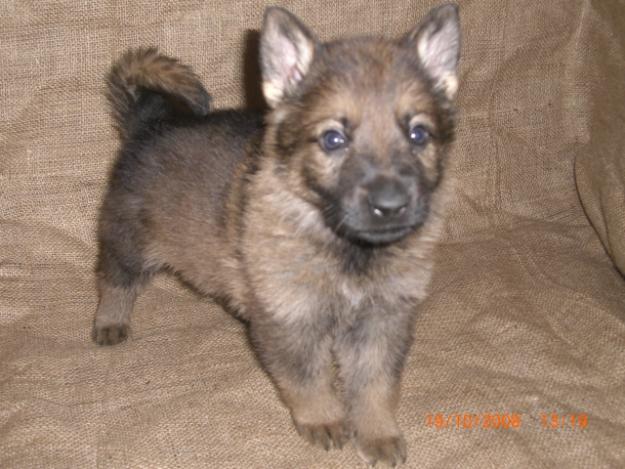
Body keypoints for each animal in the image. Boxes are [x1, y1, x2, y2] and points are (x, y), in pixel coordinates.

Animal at [95, 3, 460, 464]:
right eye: (333, 139)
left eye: (418, 134)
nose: (391, 205)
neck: (347, 249)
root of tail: (149, 122)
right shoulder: (292, 320)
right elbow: (308, 380)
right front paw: (323, 419)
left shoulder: (383, 319)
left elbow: (375, 384)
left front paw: (377, 432)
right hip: (127, 238)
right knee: (113, 279)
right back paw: (109, 321)